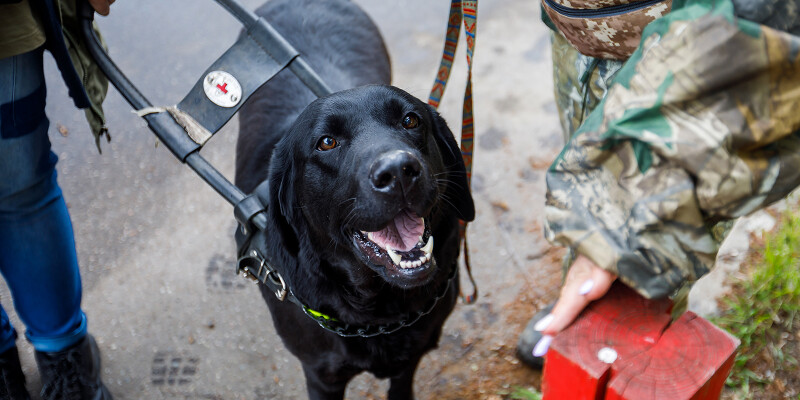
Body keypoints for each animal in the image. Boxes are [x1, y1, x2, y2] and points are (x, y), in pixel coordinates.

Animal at [234, 1, 472, 398]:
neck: (381, 313)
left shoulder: (415, 352)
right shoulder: (322, 376)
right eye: (327, 142)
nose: (398, 171)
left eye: (410, 120)